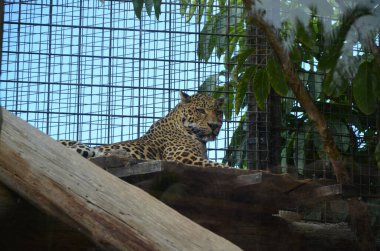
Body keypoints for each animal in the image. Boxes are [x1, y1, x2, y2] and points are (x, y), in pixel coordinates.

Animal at [59, 91, 226, 168]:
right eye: (200, 110)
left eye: (218, 112)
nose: (214, 125)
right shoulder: (182, 157)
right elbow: (217, 165)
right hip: (80, 146)